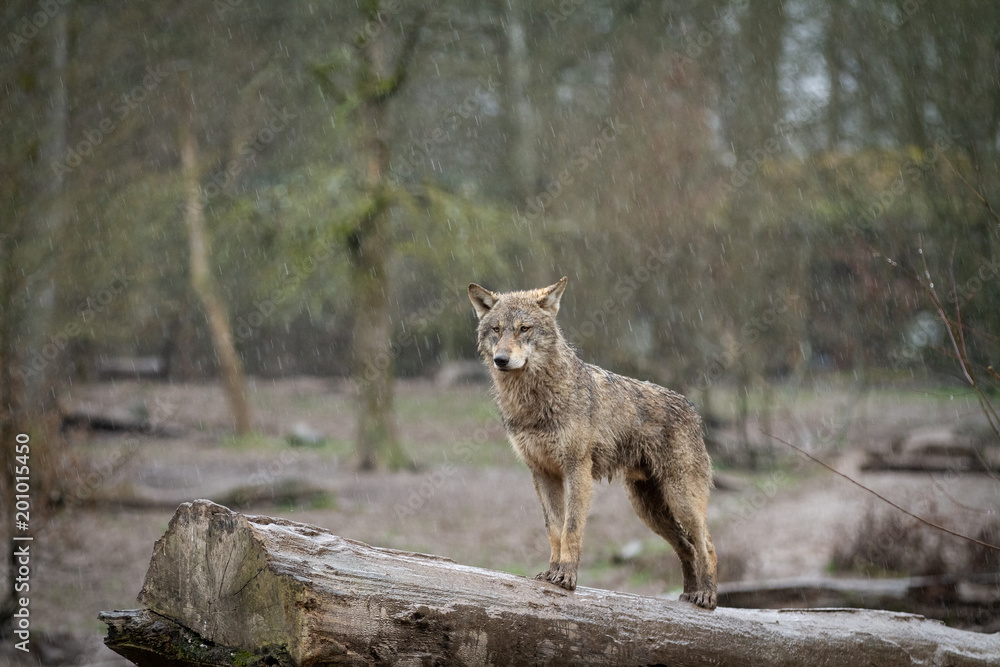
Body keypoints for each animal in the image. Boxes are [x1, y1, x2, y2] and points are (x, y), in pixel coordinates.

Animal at [468, 277, 718, 609]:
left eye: (524, 328)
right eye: (496, 329)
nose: (501, 360)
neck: (534, 400)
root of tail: (691, 407)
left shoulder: (577, 469)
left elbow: (572, 527)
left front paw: (567, 576)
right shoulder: (542, 473)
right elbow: (555, 529)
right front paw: (552, 573)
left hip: (680, 499)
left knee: (706, 543)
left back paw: (707, 595)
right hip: (648, 510)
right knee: (687, 547)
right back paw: (689, 595)